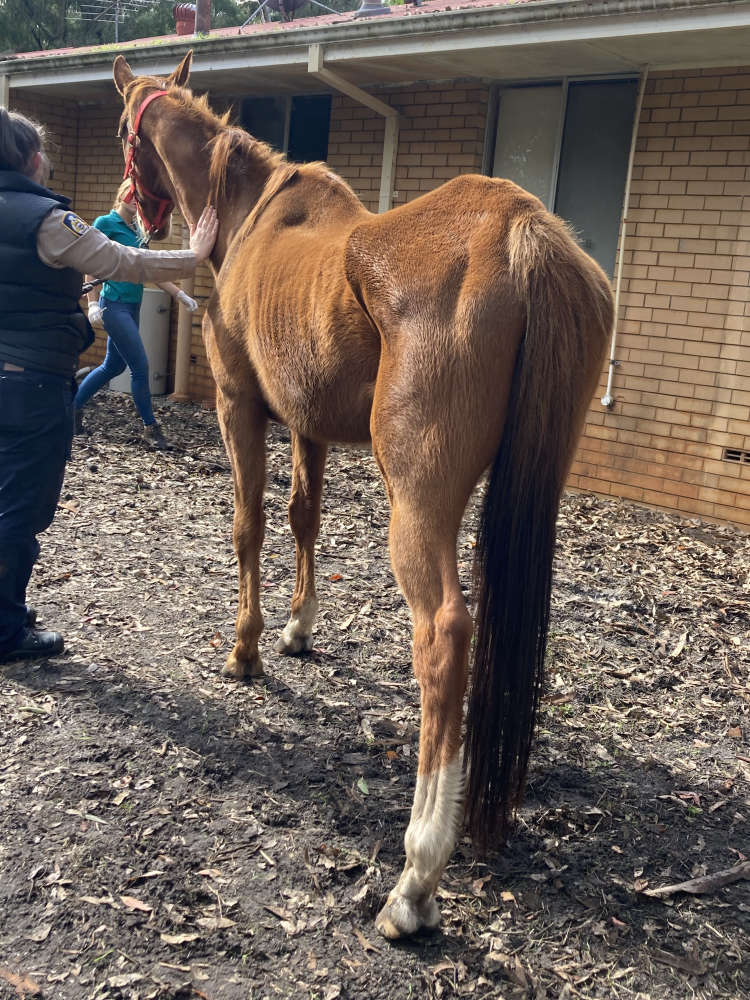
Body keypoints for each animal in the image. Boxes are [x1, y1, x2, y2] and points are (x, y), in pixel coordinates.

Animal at [112, 51, 613, 940]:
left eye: (125, 131)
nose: (132, 208)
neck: (251, 216)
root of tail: (521, 229)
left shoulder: (240, 408)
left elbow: (249, 526)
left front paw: (246, 649)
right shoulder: (307, 423)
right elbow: (303, 520)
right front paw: (299, 630)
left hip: (416, 505)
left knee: (444, 634)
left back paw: (416, 876)